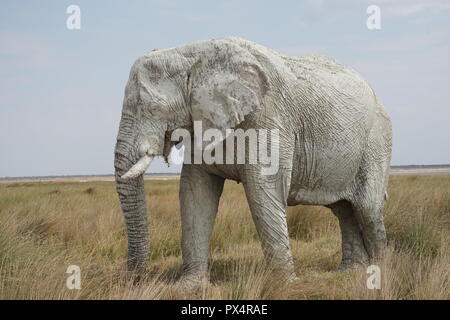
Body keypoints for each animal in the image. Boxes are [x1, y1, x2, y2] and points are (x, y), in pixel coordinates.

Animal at [114, 36, 392, 286]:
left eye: (148, 107)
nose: (134, 278)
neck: (194, 53)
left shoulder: (269, 116)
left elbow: (263, 188)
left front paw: (285, 285)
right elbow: (196, 192)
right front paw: (189, 287)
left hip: (377, 141)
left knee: (367, 209)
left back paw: (378, 273)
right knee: (344, 210)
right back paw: (349, 271)